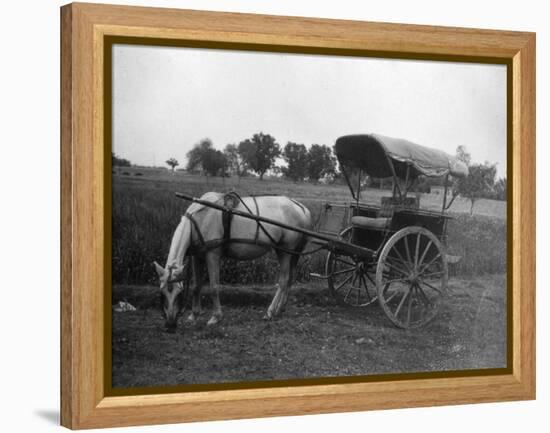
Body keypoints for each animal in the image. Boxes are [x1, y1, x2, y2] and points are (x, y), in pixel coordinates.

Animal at [153, 192, 312, 330]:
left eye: (179, 293)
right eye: (162, 293)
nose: (170, 325)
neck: (199, 219)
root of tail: (300, 207)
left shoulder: (212, 254)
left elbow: (214, 286)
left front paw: (216, 317)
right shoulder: (197, 256)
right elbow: (196, 286)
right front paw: (194, 315)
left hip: (285, 250)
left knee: (284, 280)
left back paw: (270, 312)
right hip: (291, 253)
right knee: (290, 278)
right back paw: (280, 309)